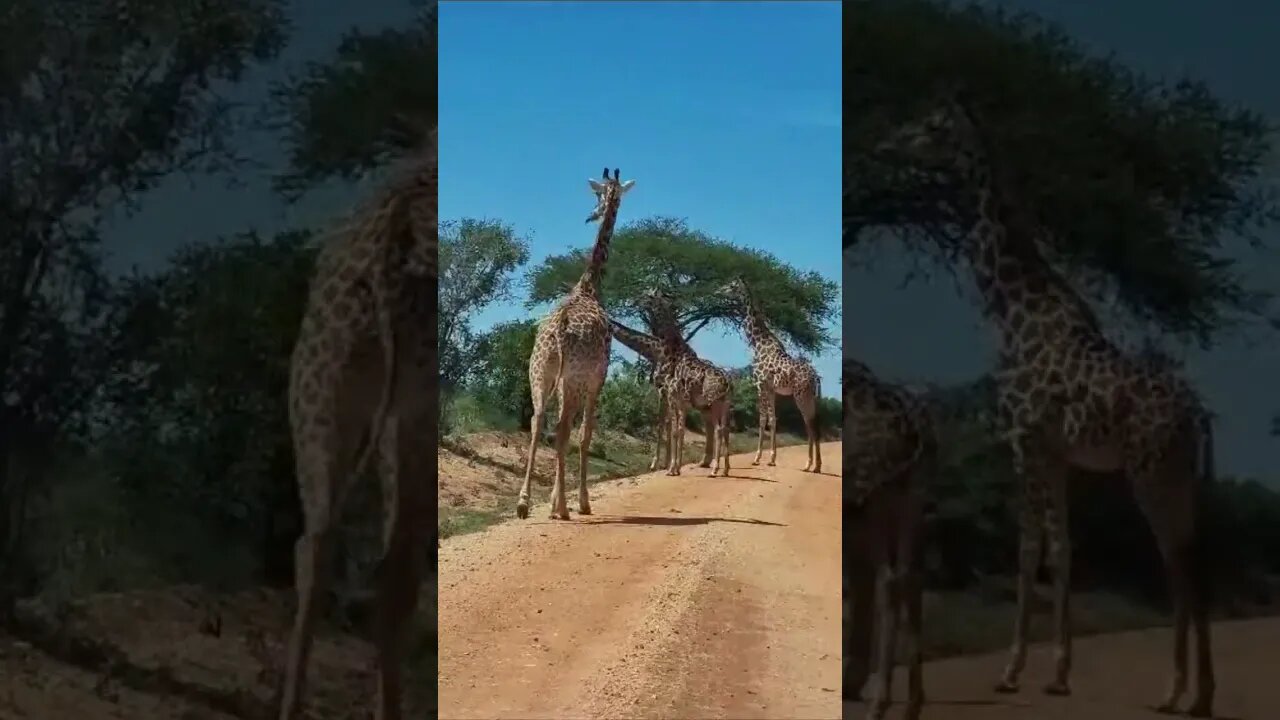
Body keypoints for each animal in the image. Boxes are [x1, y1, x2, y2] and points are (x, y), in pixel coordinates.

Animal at [517, 166, 637, 515]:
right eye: (598, 194)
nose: (592, 215)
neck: (589, 286)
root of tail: (558, 329)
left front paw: (554, 499)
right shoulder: (598, 377)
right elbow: (584, 435)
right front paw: (579, 502)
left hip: (539, 373)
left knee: (537, 421)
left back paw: (524, 502)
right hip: (570, 379)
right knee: (562, 430)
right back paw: (566, 508)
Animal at [721, 278, 819, 474]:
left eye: (732, 285)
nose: (719, 290)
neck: (757, 343)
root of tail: (816, 377)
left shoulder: (760, 384)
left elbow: (762, 419)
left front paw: (757, 458)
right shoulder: (772, 389)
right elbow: (773, 419)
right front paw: (772, 458)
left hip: (800, 395)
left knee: (809, 422)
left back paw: (808, 464)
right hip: (811, 396)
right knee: (815, 421)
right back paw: (817, 465)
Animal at [844, 353, 936, 717]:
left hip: (879, 495)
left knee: (889, 580)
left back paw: (879, 704)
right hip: (910, 492)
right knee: (910, 577)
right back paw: (912, 703)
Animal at [885, 94, 1213, 712]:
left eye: (934, 126)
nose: (890, 143)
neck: (1013, 311)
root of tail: (1199, 419)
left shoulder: (1024, 441)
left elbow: (1027, 549)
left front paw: (1014, 671)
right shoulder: (1058, 455)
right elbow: (1062, 549)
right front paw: (1058, 671)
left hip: (1150, 472)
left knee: (1178, 558)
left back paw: (1178, 691)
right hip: (1181, 475)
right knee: (1190, 556)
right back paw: (1194, 692)